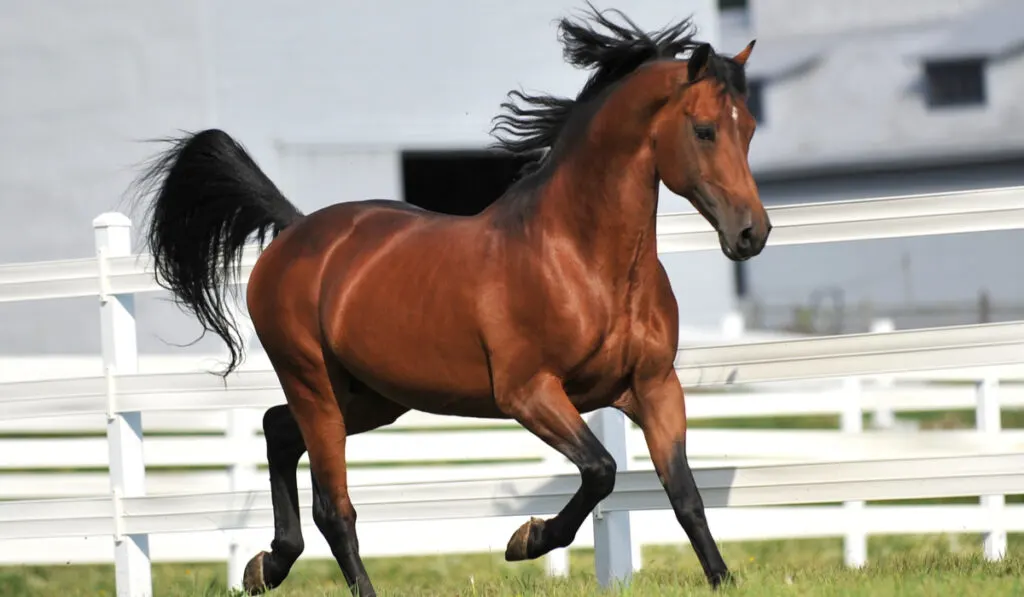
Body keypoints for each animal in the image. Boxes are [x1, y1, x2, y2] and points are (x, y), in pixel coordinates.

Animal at [132, 5, 765, 597]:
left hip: (371, 398)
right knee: (334, 508)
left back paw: (265, 565)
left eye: (751, 128)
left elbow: (684, 493)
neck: (582, 261)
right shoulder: (529, 393)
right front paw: (526, 539)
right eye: (705, 129)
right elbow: (601, 470)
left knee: (277, 430)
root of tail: (294, 231)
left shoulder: (655, 387)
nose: (752, 234)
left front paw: (721, 578)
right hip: (314, 386)